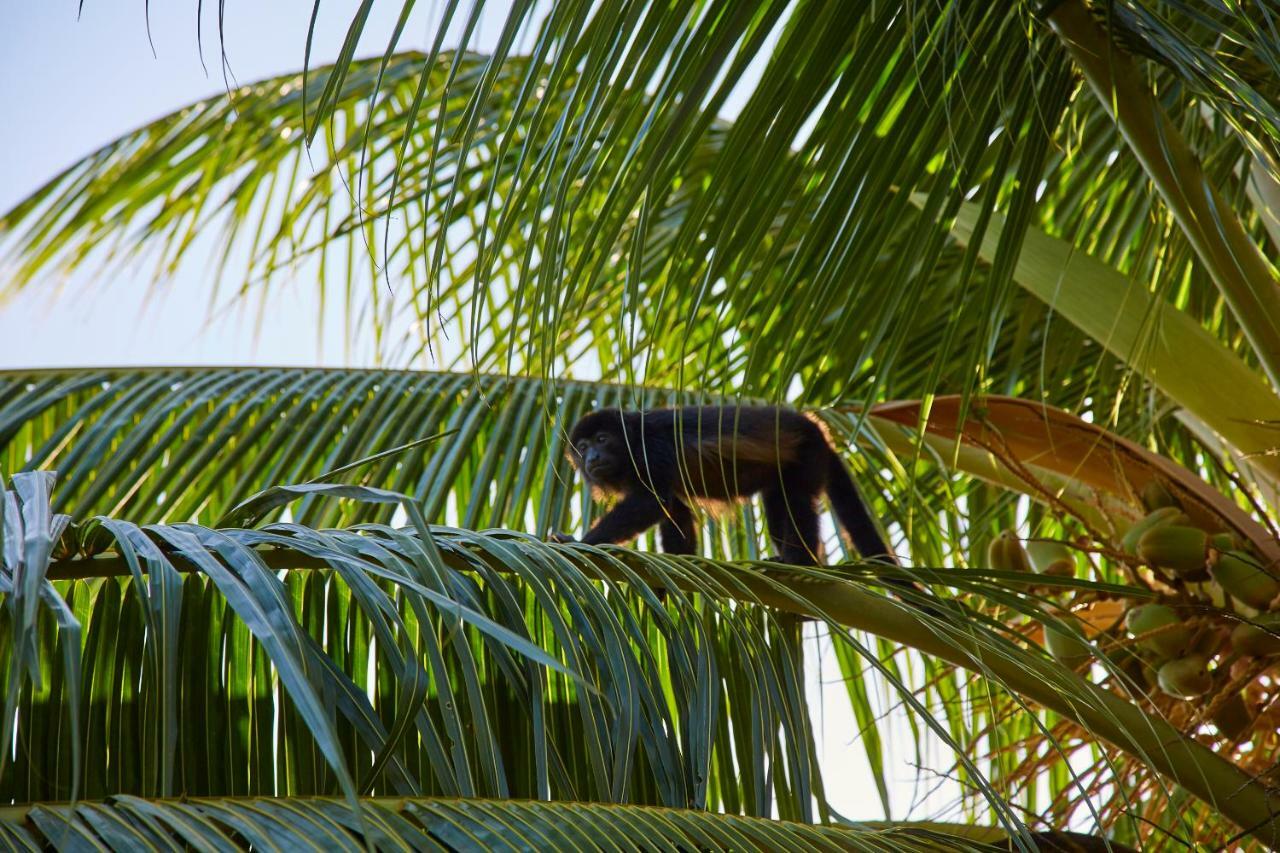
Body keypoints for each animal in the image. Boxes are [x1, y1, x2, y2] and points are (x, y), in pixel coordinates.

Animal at [558, 404, 901, 568]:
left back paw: (803, 562)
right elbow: (675, 510)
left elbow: (651, 503)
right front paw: (679, 562)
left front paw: (580, 543)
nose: (592, 457)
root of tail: (819, 429)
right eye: (583, 447)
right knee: (777, 506)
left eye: (602, 439)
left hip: (809, 452)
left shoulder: (651, 449)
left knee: (799, 499)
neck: (630, 442)